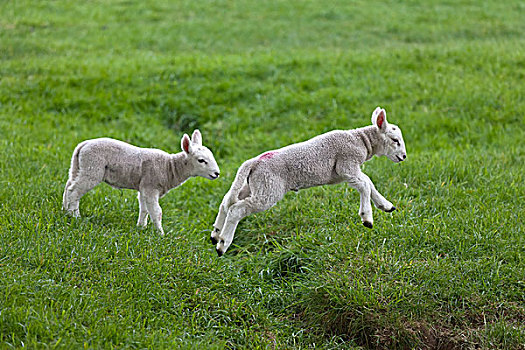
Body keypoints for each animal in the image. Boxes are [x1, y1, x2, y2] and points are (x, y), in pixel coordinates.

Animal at [63, 129, 219, 235]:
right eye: (201, 160)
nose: (216, 173)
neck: (170, 167)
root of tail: (84, 145)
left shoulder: (144, 187)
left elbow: (144, 209)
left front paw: (141, 227)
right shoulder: (151, 186)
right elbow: (157, 211)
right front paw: (160, 234)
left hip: (79, 165)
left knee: (68, 185)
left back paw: (65, 210)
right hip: (93, 168)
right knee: (74, 191)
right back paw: (75, 216)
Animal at [211, 105, 408, 256]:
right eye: (395, 140)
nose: (404, 157)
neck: (360, 140)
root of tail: (254, 162)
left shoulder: (348, 171)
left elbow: (368, 182)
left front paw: (386, 205)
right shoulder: (346, 164)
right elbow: (365, 184)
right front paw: (367, 218)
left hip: (254, 185)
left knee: (226, 201)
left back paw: (216, 235)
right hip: (269, 189)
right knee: (237, 209)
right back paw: (223, 245)